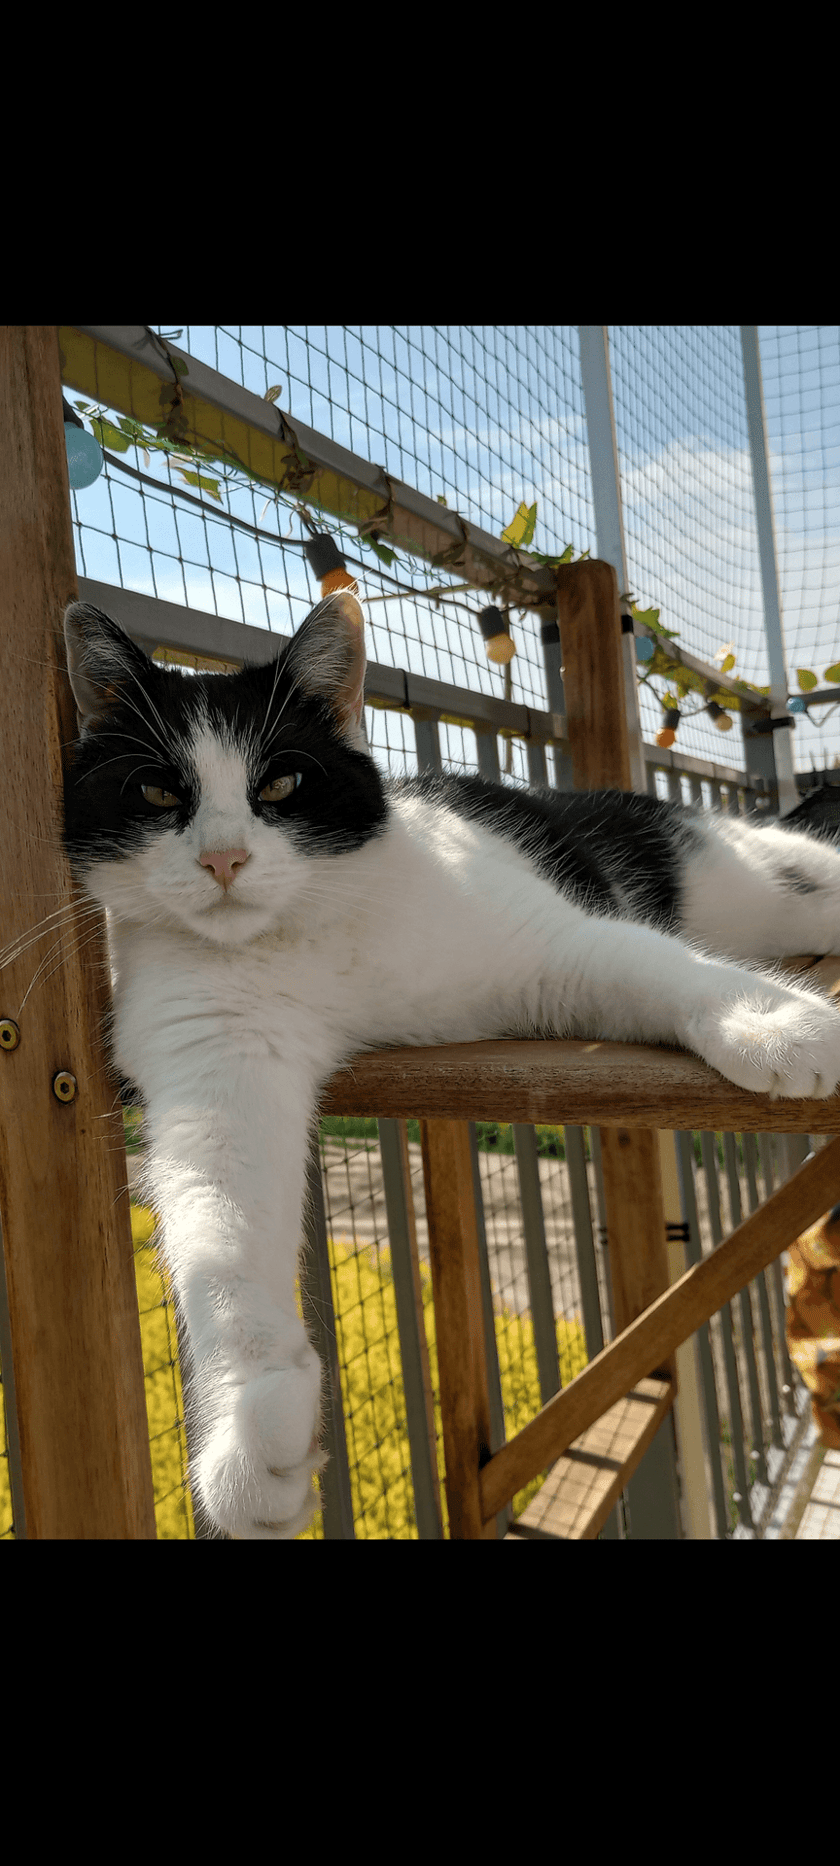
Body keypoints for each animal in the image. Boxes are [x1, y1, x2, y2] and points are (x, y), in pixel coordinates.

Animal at [55, 597, 840, 1545]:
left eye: (280, 786)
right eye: (159, 792)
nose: (223, 860)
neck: (307, 934)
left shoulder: (553, 949)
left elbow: (662, 969)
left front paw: (779, 1025)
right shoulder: (218, 1063)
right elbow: (221, 1235)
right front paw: (251, 1426)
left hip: (766, 882)